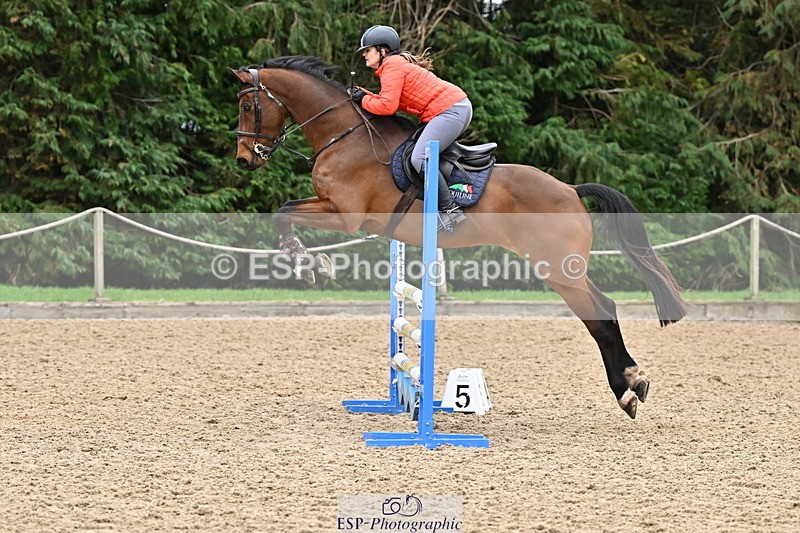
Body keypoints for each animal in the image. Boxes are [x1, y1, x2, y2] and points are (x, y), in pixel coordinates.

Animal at [229, 56, 688, 419]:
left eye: (248, 106)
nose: (245, 160)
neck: (345, 136)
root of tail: (572, 190)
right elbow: (285, 210)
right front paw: (310, 262)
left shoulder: (346, 216)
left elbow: (283, 213)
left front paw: (308, 264)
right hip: (562, 268)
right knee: (605, 309)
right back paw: (633, 382)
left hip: (558, 269)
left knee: (600, 316)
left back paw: (627, 391)